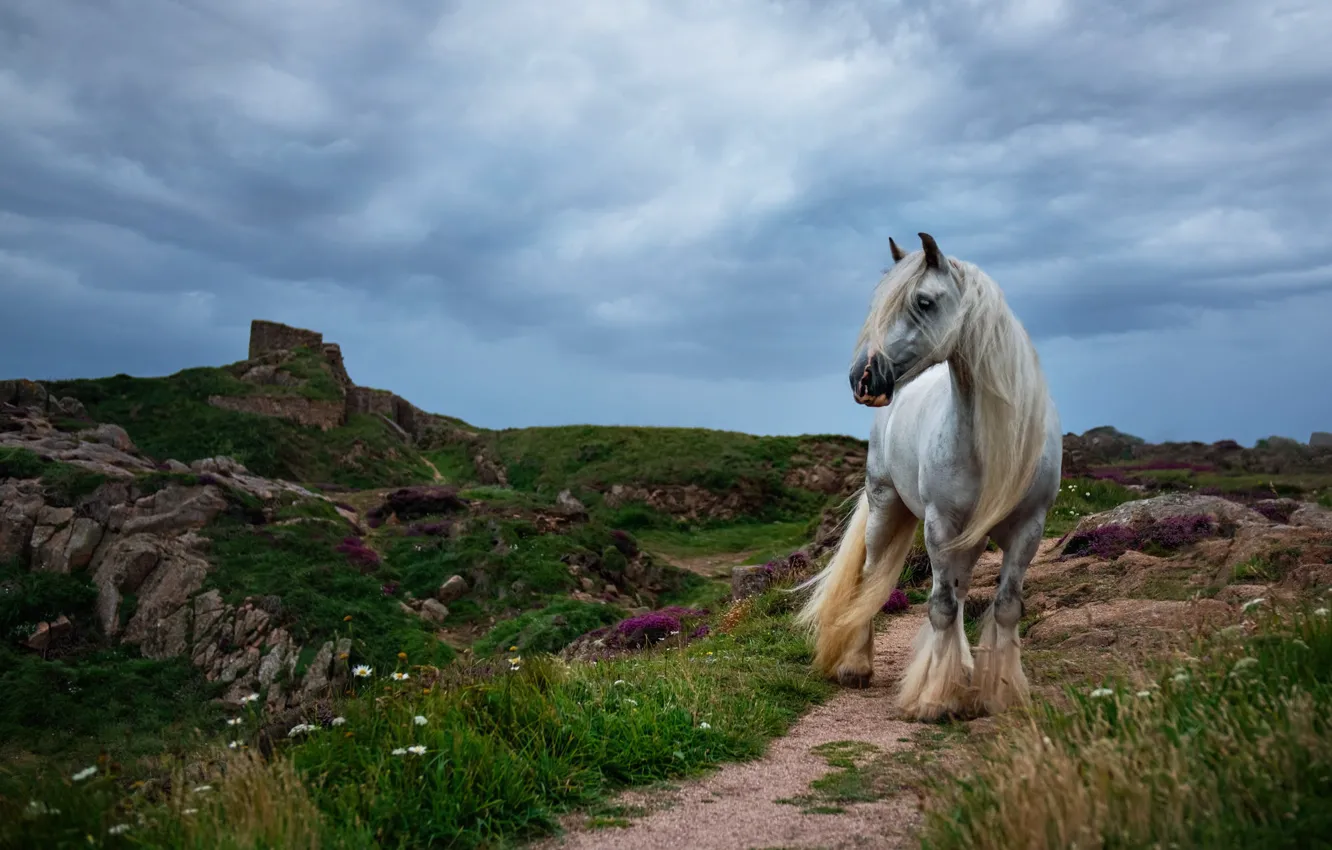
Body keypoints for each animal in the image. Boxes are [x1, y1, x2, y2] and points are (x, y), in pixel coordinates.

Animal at [793, 232, 1062, 722]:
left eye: (924, 301)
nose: (863, 378)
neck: (988, 440)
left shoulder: (1029, 528)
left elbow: (1004, 607)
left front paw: (999, 693)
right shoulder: (940, 525)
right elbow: (940, 606)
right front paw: (935, 699)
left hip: (970, 538)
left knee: (960, 589)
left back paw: (966, 673)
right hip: (885, 506)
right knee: (872, 575)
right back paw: (857, 665)